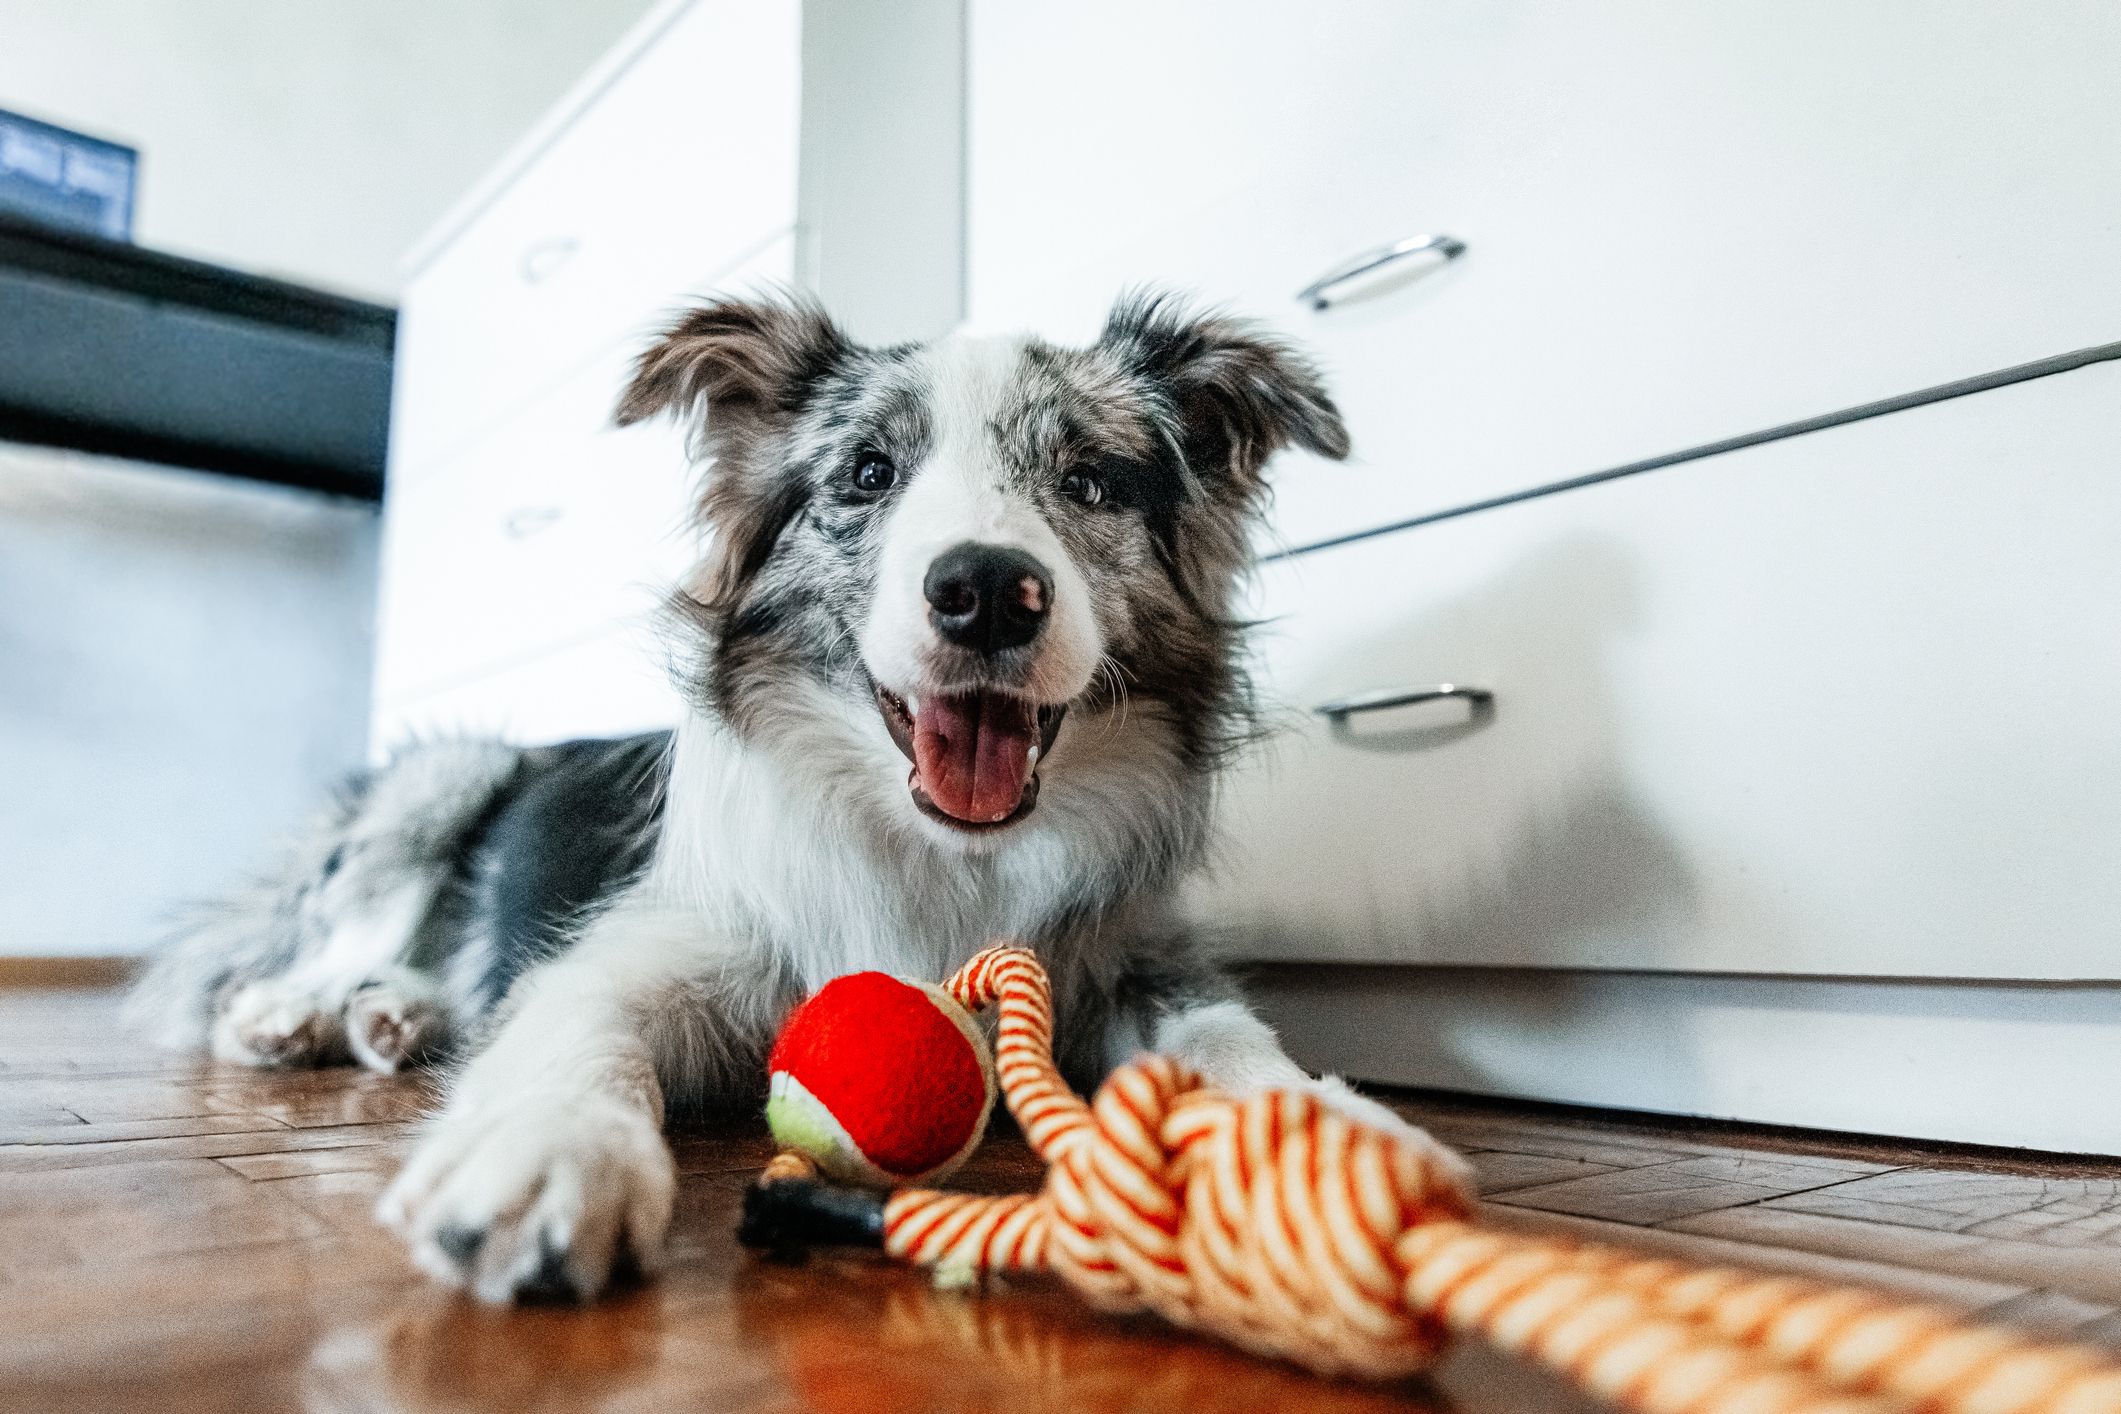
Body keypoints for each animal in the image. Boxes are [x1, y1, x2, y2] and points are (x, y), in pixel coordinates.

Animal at [124, 290, 1467, 1305]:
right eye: (869, 473)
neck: (942, 856)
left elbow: (1232, 1034)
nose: (988, 590)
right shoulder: (648, 946)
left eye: (1089, 482)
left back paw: (396, 1015)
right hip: (445, 773)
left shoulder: (1130, 955)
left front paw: (1328, 1141)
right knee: (324, 940)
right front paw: (549, 1154)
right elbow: (576, 1029)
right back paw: (300, 1011)